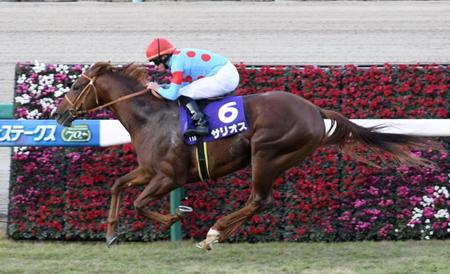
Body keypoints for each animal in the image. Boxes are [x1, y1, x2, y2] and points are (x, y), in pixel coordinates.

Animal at [54, 62, 434, 250]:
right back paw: (218, 235)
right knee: (259, 202)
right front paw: (110, 234)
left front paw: (176, 216)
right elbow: (119, 186)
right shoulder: (149, 171)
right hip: (278, 158)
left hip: (267, 153)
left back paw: (214, 232)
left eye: (76, 86)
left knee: (258, 200)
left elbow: (140, 204)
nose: (58, 114)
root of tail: (314, 109)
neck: (150, 117)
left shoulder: (168, 176)